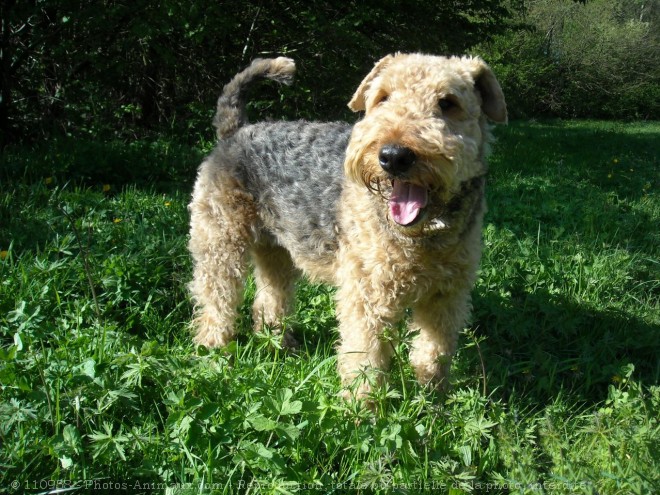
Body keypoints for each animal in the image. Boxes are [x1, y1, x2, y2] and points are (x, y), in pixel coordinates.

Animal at [188, 54, 508, 402]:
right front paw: (361, 409)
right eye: (382, 97)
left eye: (448, 102)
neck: (422, 236)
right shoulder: (367, 295)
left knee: (269, 299)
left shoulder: (446, 295)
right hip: (221, 243)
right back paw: (213, 352)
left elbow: (432, 352)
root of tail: (236, 130)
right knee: (216, 300)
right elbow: (365, 358)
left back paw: (280, 345)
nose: (393, 156)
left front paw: (433, 399)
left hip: (276, 249)